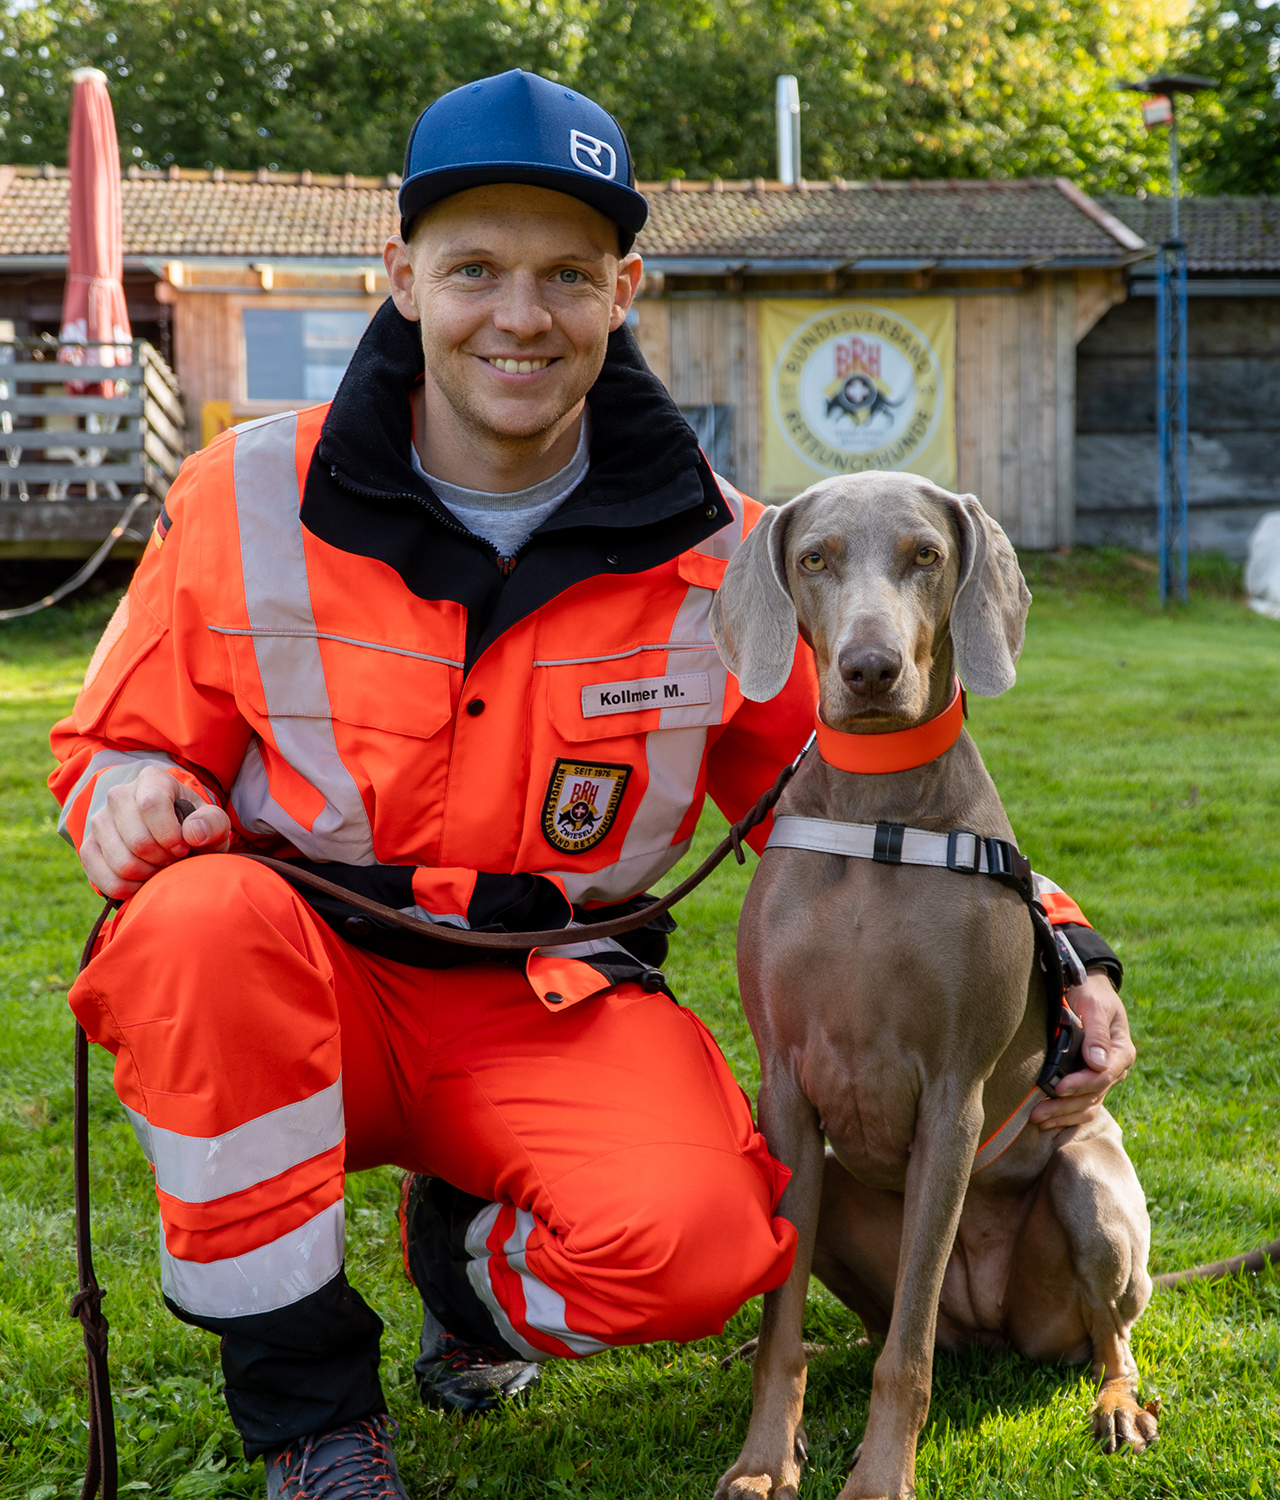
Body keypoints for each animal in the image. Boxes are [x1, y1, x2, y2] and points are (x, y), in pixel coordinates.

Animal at [705, 477, 1152, 1500]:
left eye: (926, 555)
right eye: (814, 558)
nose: (869, 670)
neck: (878, 818)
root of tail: (991, 1327)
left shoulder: (953, 1098)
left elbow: (903, 1359)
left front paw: (878, 1481)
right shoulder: (784, 1089)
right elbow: (783, 1326)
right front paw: (762, 1460)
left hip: (1090, 1190)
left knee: (1100, 1335)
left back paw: (1116, 1406)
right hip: (835, 1190)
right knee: (880, 1326)